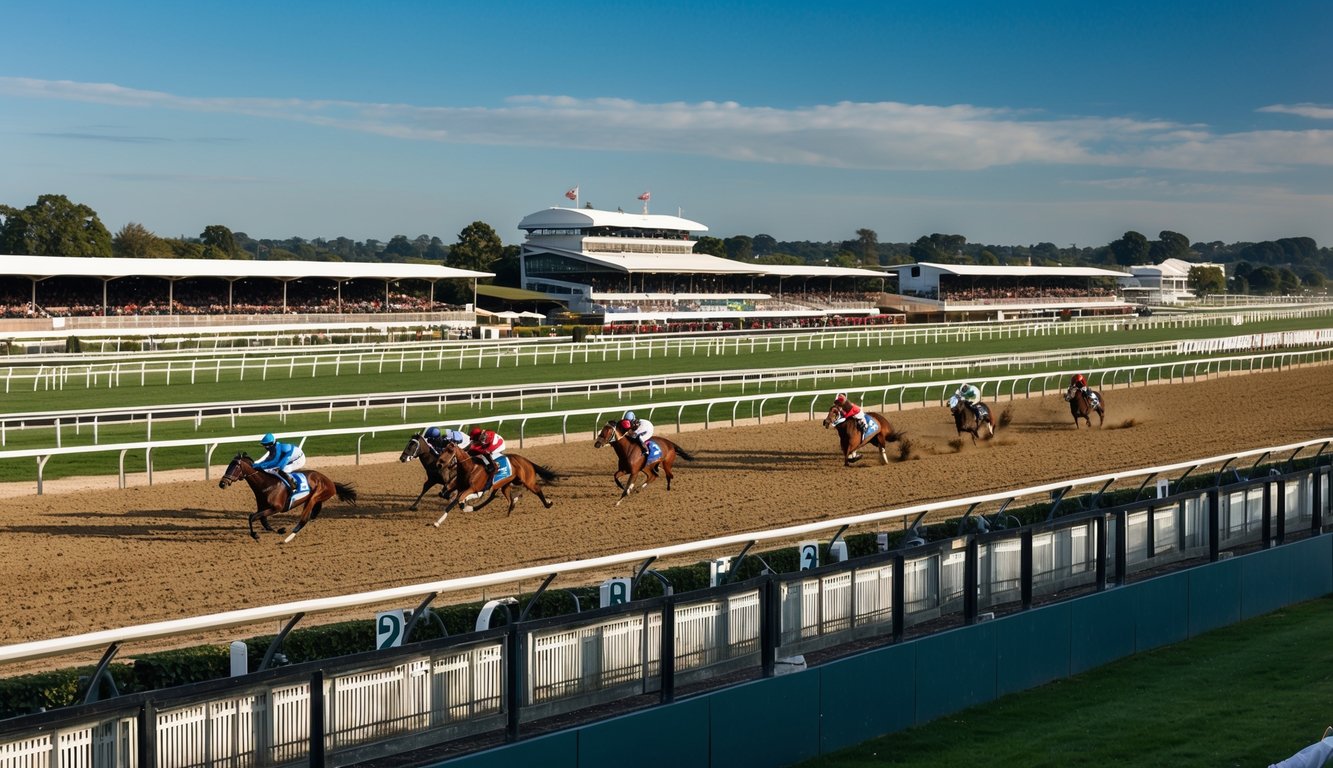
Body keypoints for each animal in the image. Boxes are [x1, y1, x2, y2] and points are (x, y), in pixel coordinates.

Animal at [222, 453, 359, 544]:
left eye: (236, 466)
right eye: (228, 465)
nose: (222, 483)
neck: (266, 485)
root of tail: (330, 482)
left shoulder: (276, 508)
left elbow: (252, 517)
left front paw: (256, 535)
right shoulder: (263, 508)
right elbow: (262, 521)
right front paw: (279, 530)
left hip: (314, 496)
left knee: (304, 519)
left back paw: (289, 538)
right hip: (315, 498)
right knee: (315, 510)